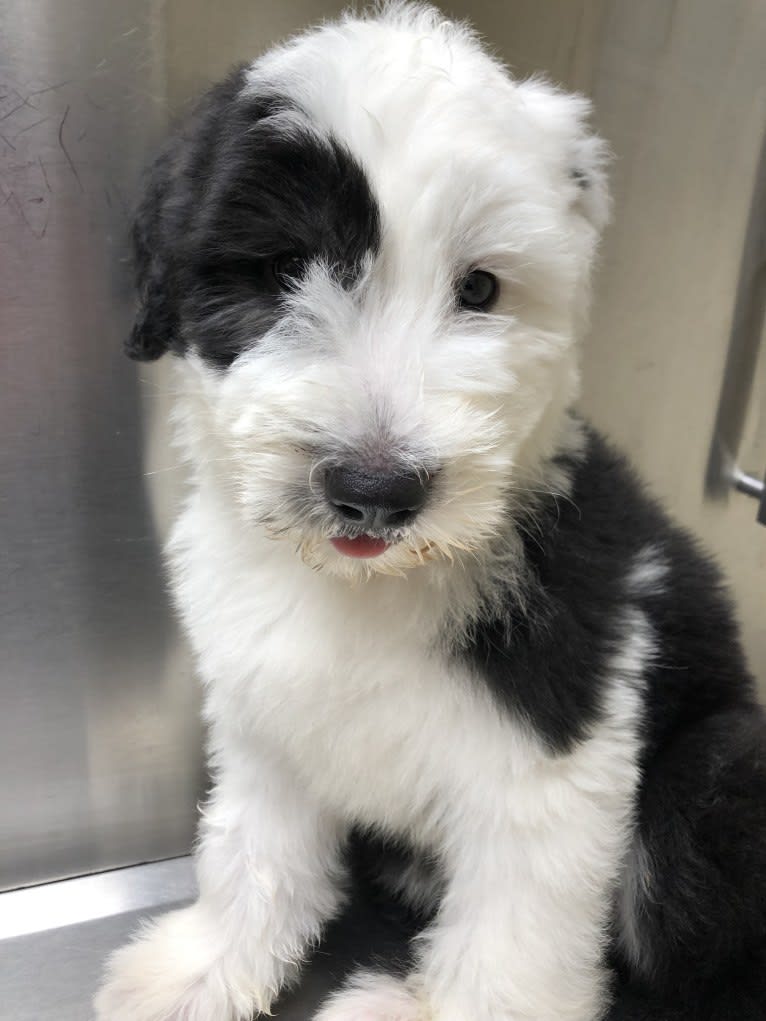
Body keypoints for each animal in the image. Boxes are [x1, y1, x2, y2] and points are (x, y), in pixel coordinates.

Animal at [94, 5, 766, 1021]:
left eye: (479, 288)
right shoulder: (267, 713)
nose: (375, 488)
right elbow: (253, 851)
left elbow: (513, 936)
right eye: (282, 267)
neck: (364, 590)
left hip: (713, 769)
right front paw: (200, 969)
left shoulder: (552, 760)